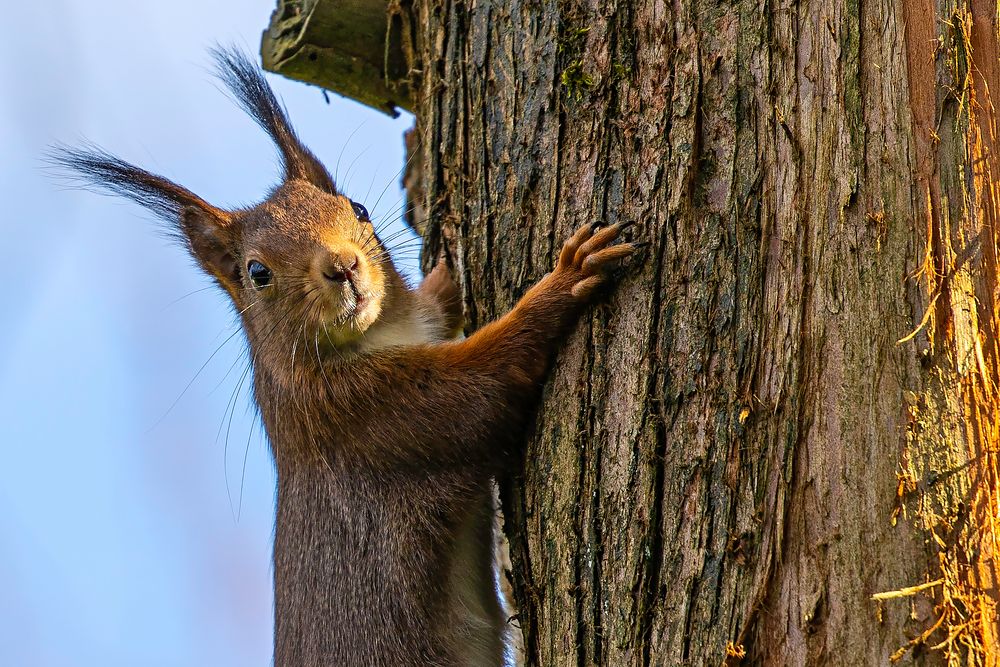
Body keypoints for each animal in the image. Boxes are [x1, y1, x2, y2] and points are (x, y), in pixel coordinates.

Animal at [54, 49, 636, 667]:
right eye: (257, 273)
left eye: (357, 208)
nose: (343, 266)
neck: (382, 331)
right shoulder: (367, 412)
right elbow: (491, 381)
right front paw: (567, 277)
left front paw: (447, 265)